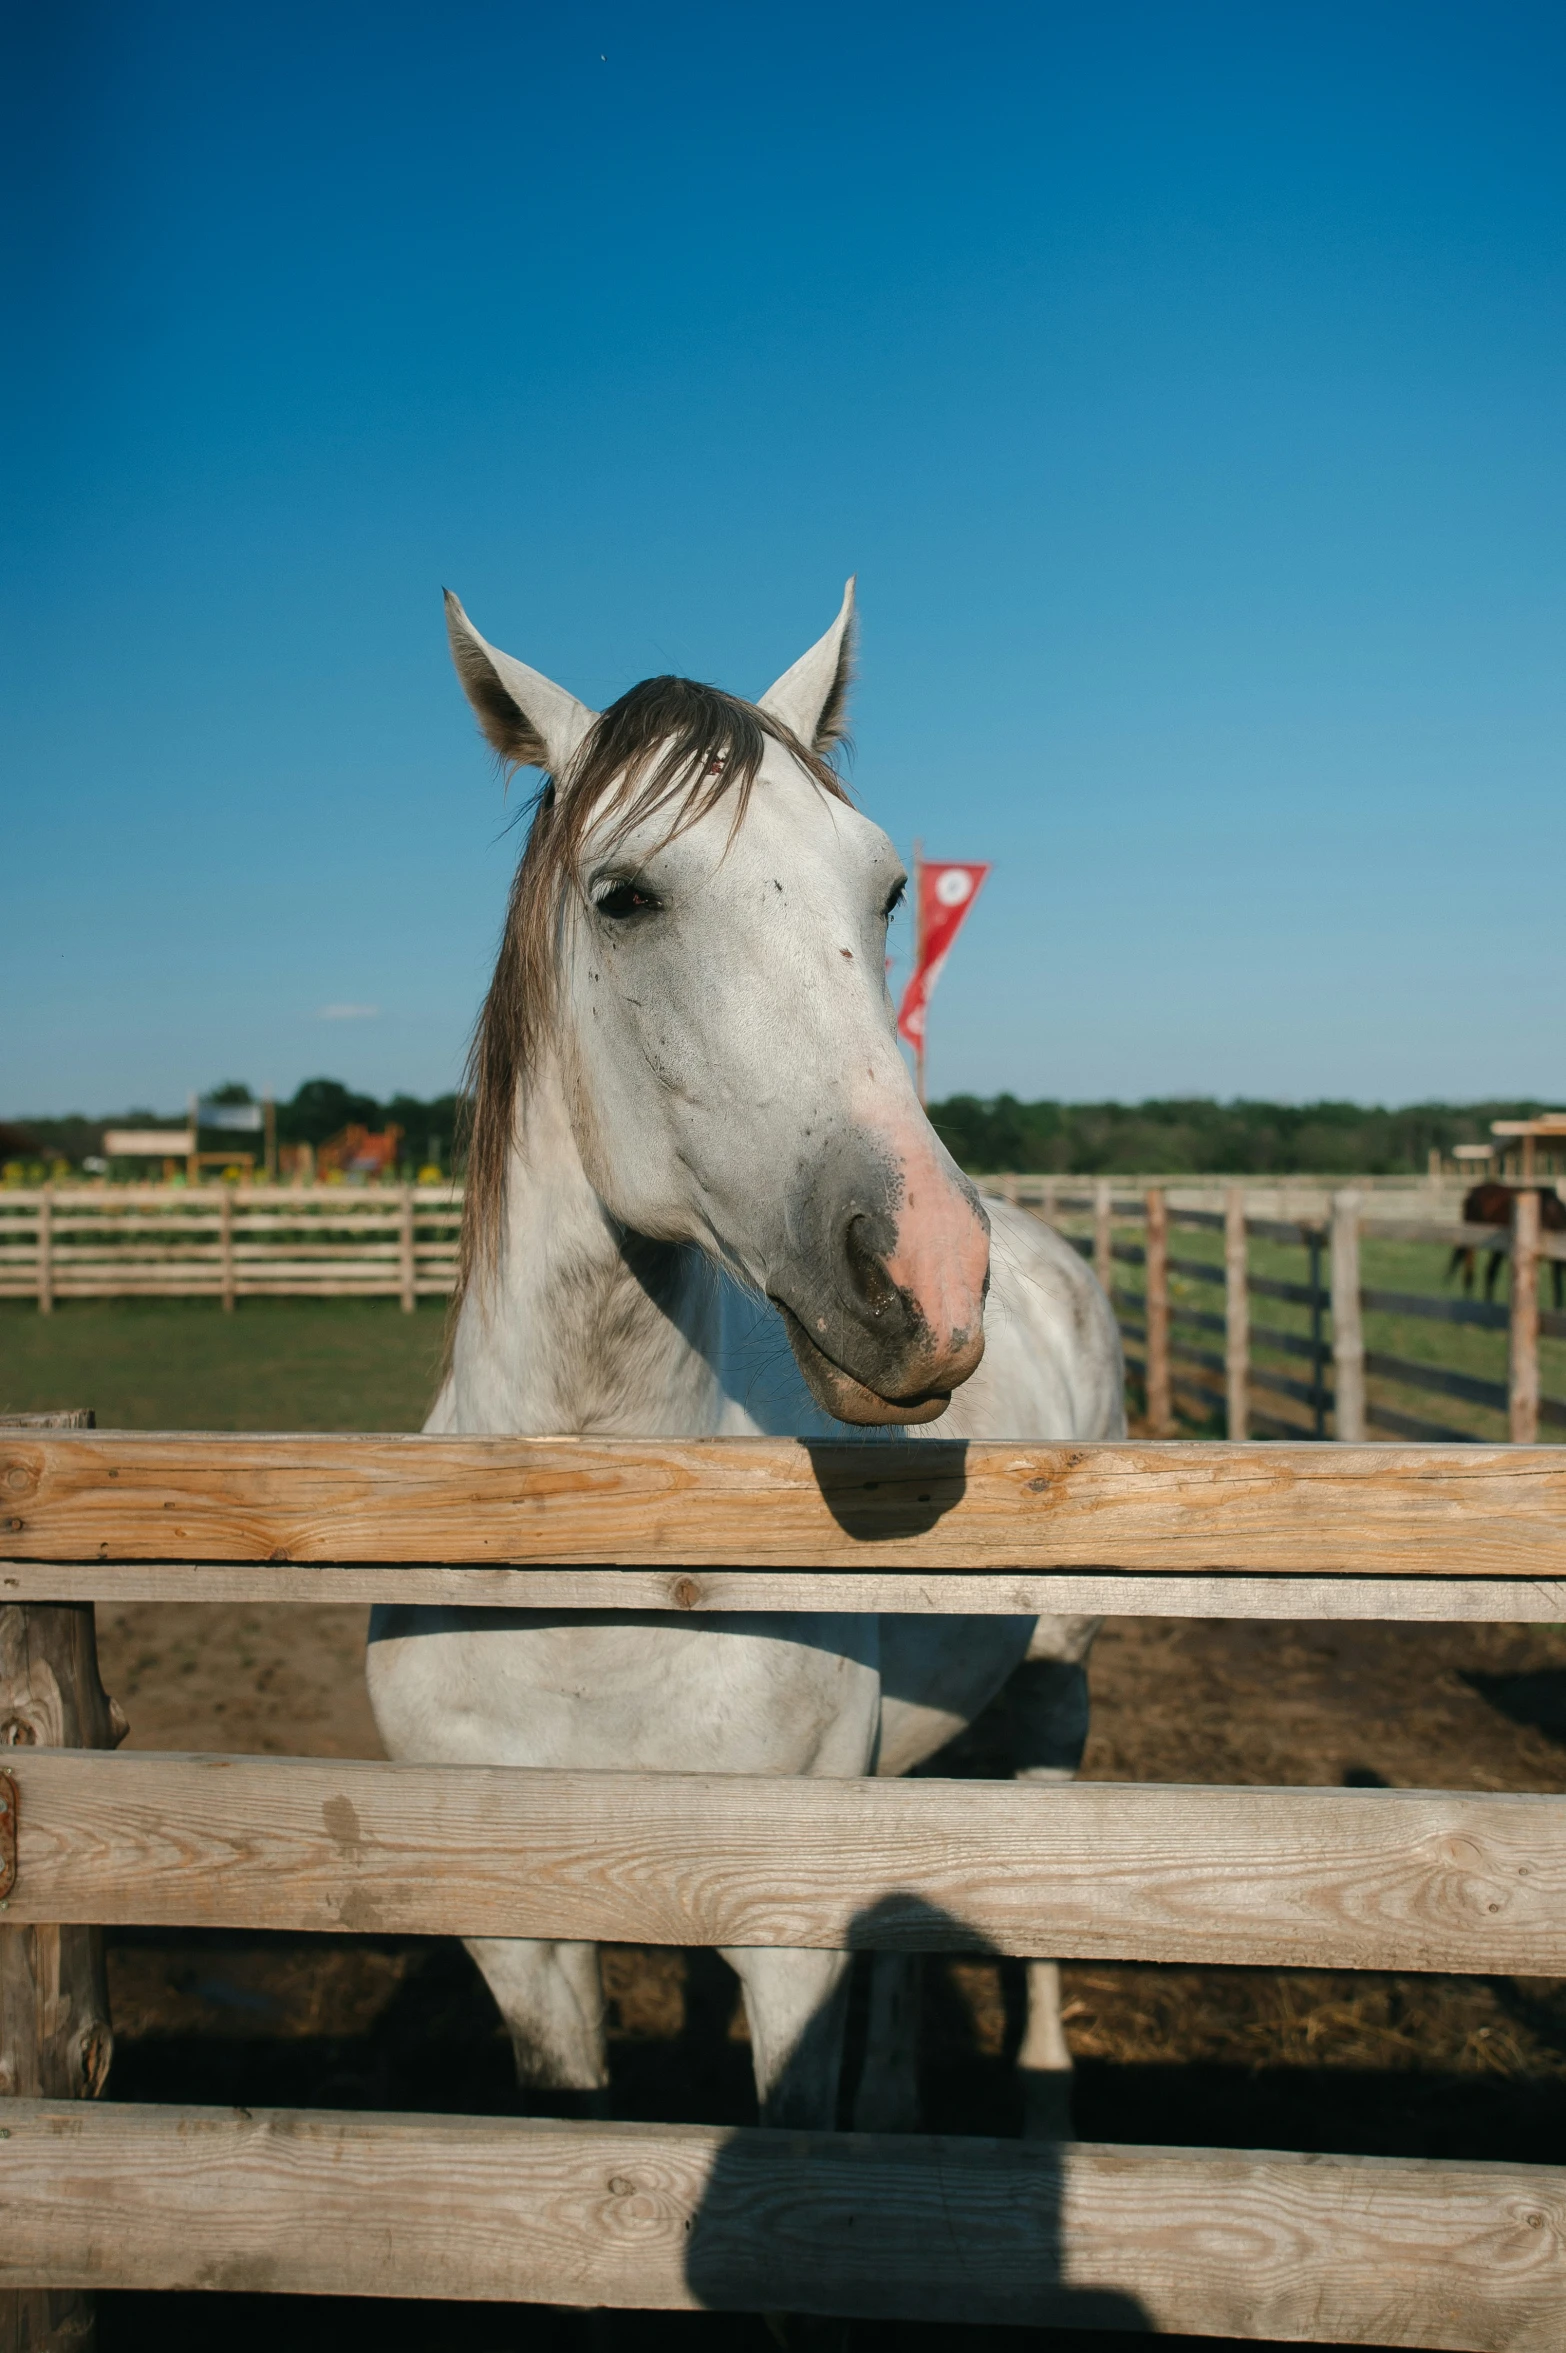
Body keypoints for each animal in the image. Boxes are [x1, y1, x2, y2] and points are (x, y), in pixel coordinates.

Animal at [366, 583, 1123, 2136]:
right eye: (623, 896)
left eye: (887, 891)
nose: (928, 1270)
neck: (585, 1610)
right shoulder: (518, 1939)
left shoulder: (782, 1943)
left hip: (1058, 1685)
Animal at [1439, 1185, 1561, 1317]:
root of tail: (1473, 1192)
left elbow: (1556, 1283)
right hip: (1472, 1240)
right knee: (1471, 1270)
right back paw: (1470, 1303)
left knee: (1488, 1271)